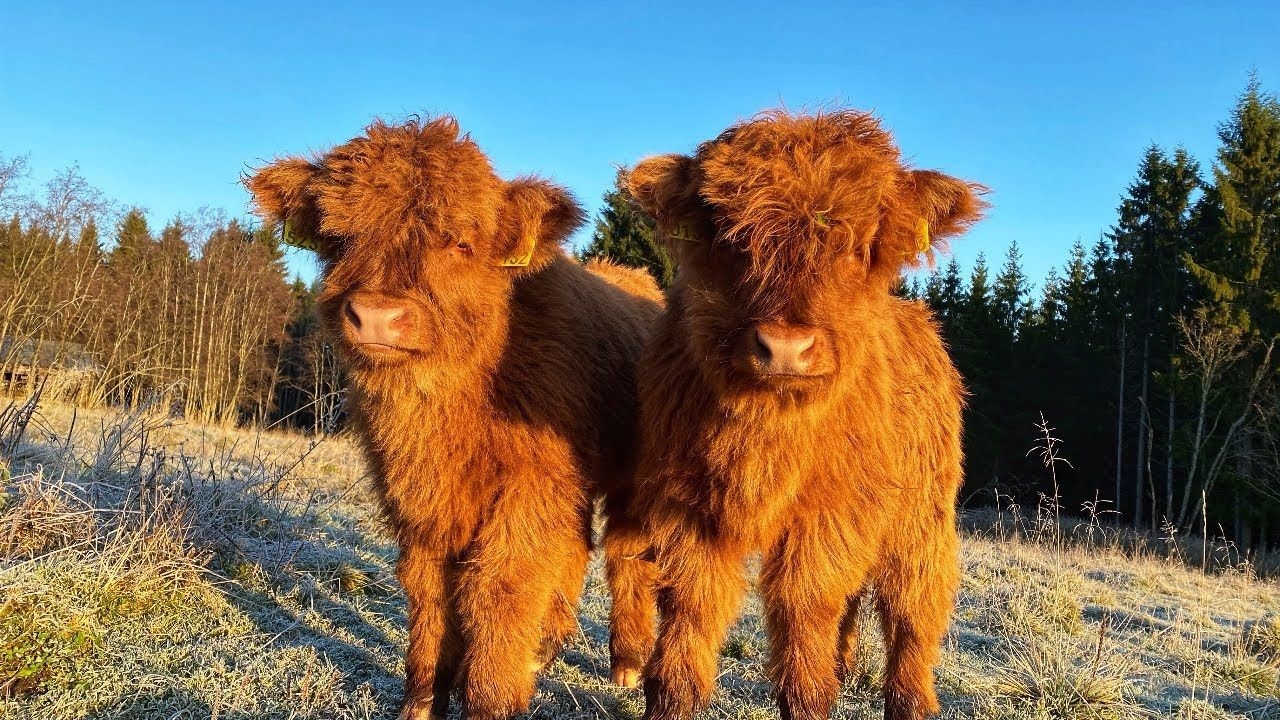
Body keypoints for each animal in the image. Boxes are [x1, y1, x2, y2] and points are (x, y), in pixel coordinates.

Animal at [244, 119, 660, 717]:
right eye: (339, 239)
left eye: (461, 242)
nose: (377, 315)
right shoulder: (419, 504)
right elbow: (429, 596)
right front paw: (420, 703)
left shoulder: (526, 497)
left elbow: (500, 594)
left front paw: (491, 697)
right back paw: (546, 649)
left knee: (629, 556)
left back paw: (626, 663)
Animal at [624, 107, 983, 717]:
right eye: (733, 239)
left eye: (858, 248)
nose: (786, 347)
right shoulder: (686, 509)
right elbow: (688, 617)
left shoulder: (827, 517)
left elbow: (805, 612)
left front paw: (813, 695)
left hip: (922, 517)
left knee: (912, 609)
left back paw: (911, 699)